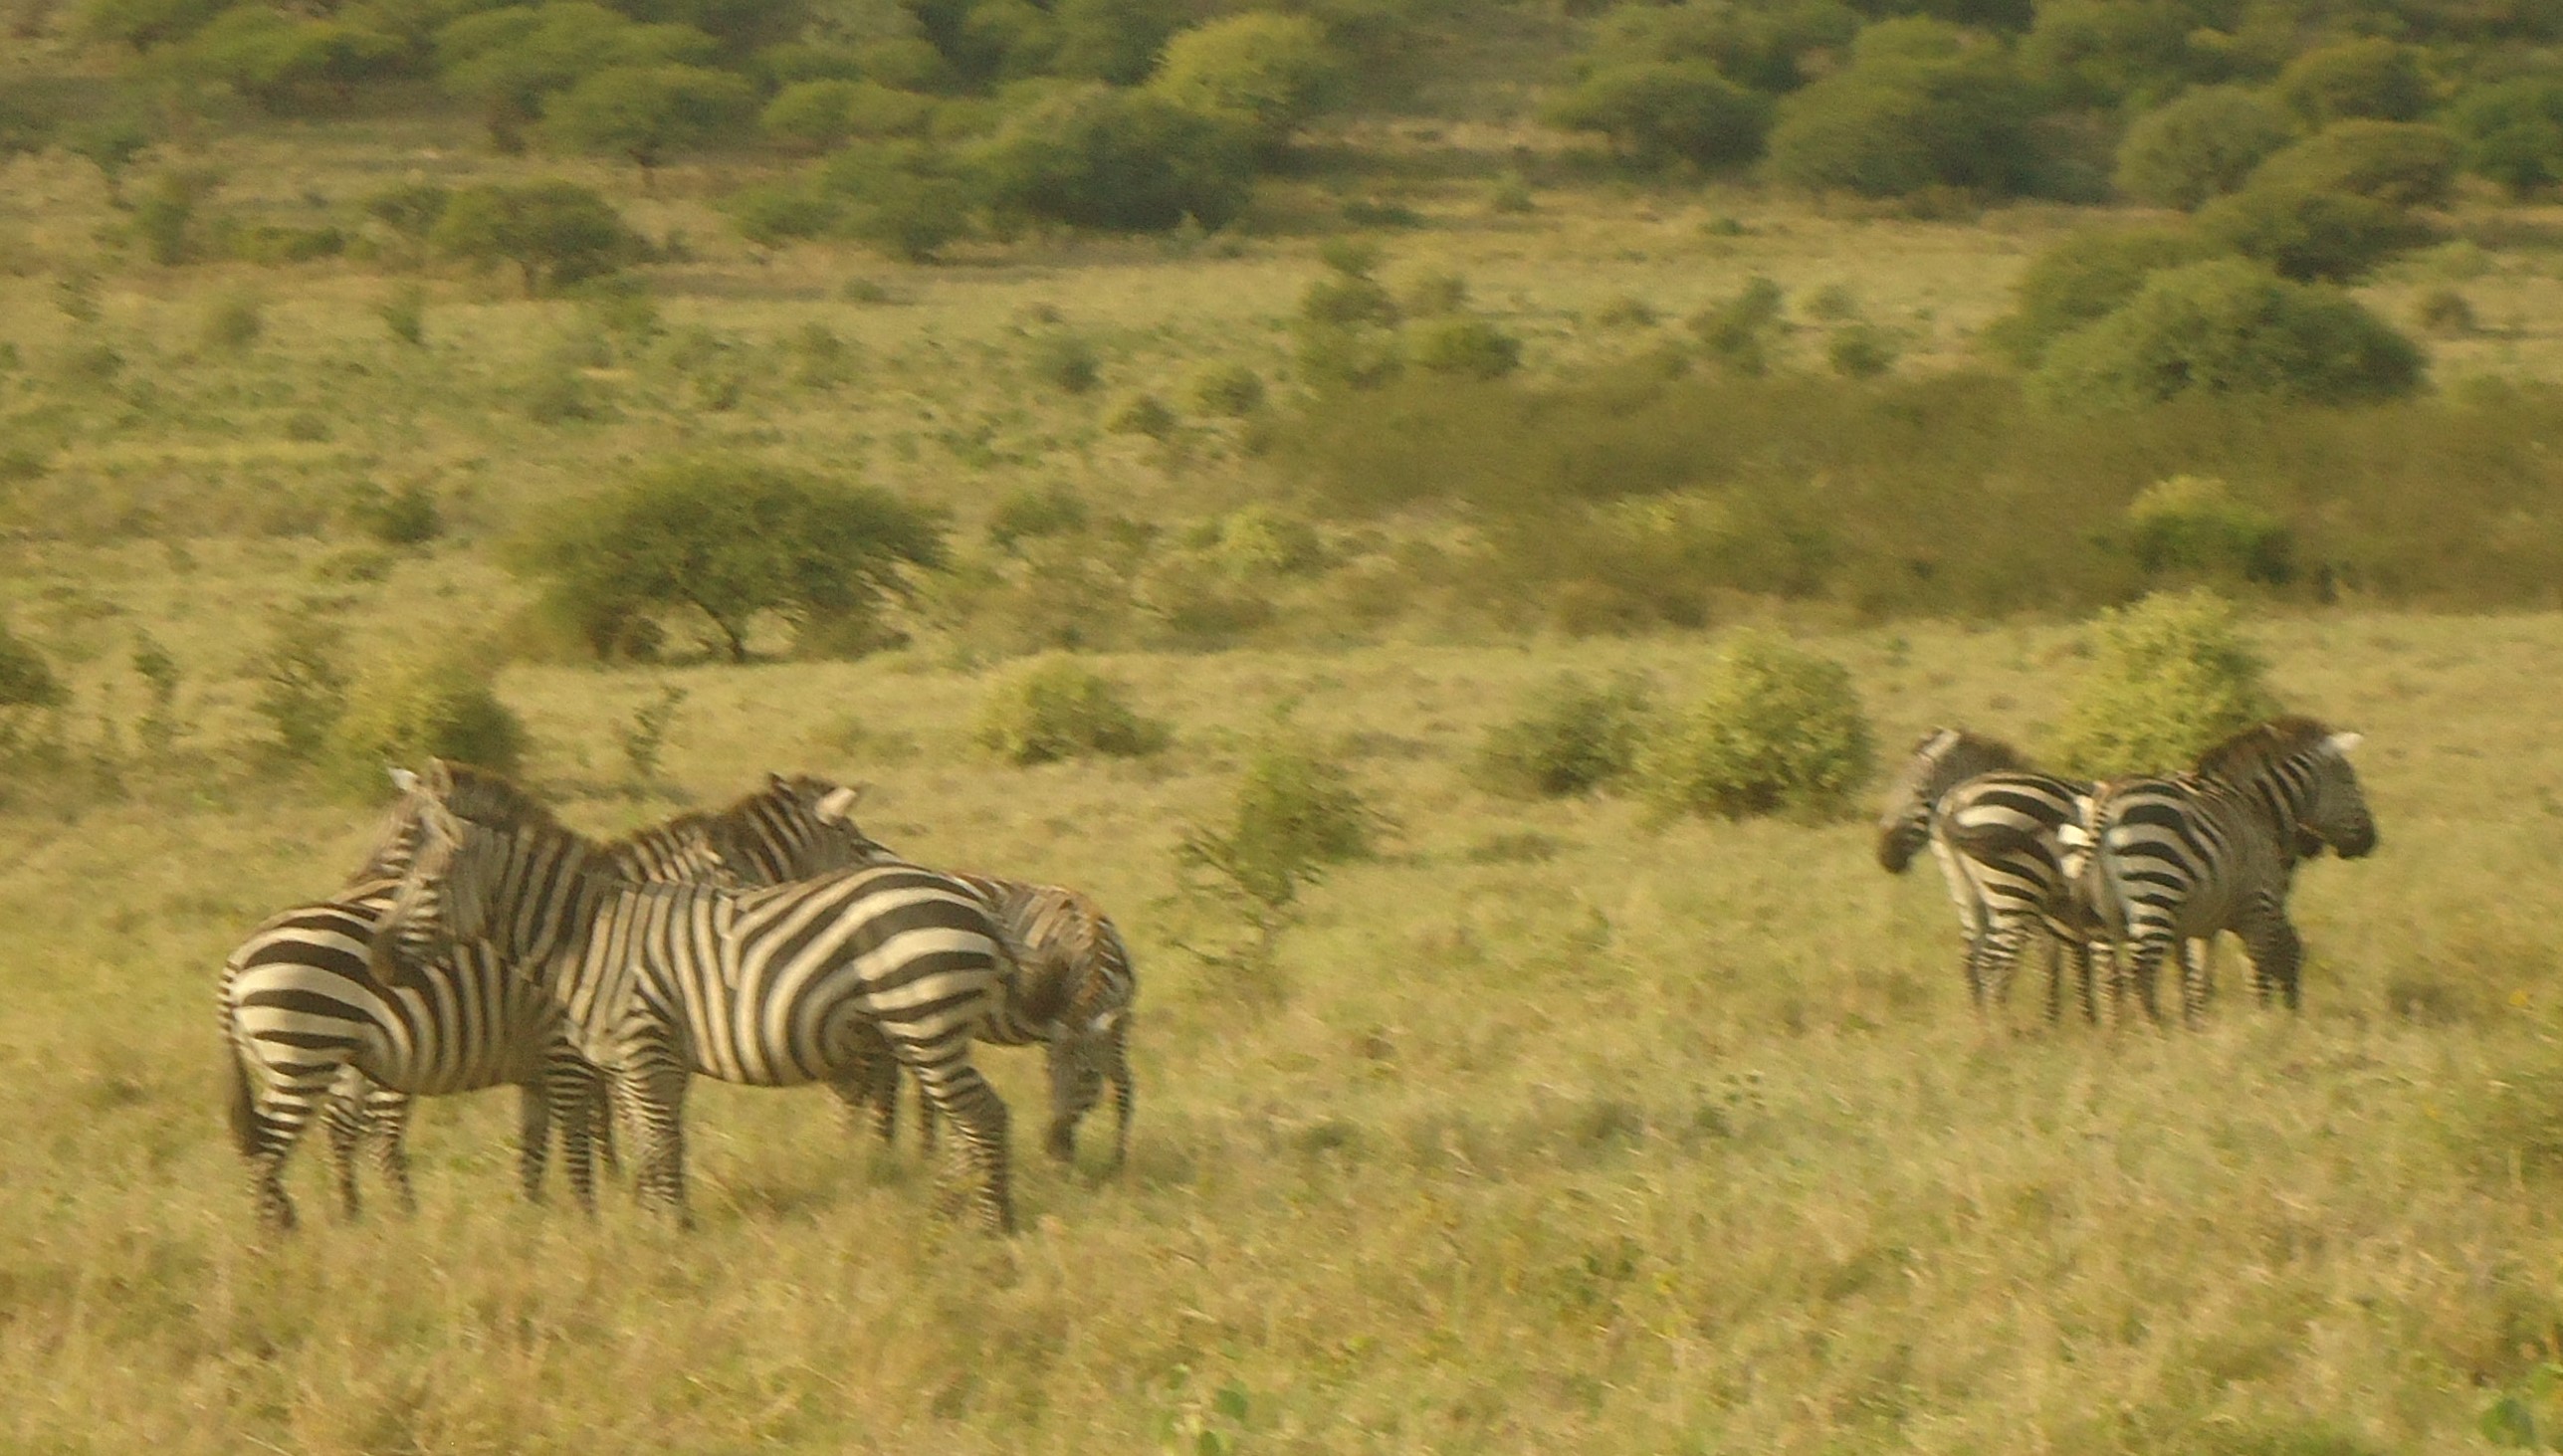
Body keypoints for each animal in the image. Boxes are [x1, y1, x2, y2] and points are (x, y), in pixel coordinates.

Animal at [220, 768, 881, 1235]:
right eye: (853, 841)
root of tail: (237, 958)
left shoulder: (559, 1062)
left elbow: (555, 1144)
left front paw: (551, 1212)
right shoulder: (570, 1054)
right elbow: (593, 1134)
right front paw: (605, 1210)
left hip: (318, 1062)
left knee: (325, 1138)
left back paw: (349, 1218)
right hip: (307, 1054)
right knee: (301, 1147)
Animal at [384, 758, 1045, 1235]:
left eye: (429, 883)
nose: (380, 956)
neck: (590, 930)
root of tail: (972, 904)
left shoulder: (643, 1049)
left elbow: (656, 1142)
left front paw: (669, 1233)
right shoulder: (639, 1061)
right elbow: (658, 1143)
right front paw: (658, 1220)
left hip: (925, 1024)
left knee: (982, 1115)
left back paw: (993, 1225)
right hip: (928, 1031)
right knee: (969, 1118)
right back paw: (962, 1209)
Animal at [2070, 718, 2368, 1025]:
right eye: (2350, 782)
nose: (2371, 841)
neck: (2255, 806)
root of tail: (2107, 802)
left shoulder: (2199, 923)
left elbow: (2196, 977)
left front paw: (2195, 1025)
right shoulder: (2257, 907)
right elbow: (2257, 970)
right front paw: (2260, 1023)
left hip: (2103, 914)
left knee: (2109, 977)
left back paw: (2115, 1033)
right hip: (2154, 891)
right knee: (2141, 974)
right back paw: (2157, 1031)